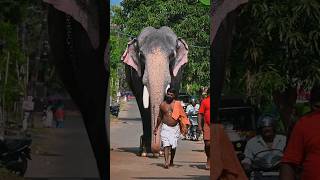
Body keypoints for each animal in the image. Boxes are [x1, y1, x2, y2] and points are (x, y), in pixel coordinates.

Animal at [121, 26, 189, 156]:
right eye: (141, 55)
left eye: (172, 55)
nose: (156, 151)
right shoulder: (136, 74)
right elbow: (142, 103)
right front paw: (145, 151)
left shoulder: (177, 73)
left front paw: (162, 150)